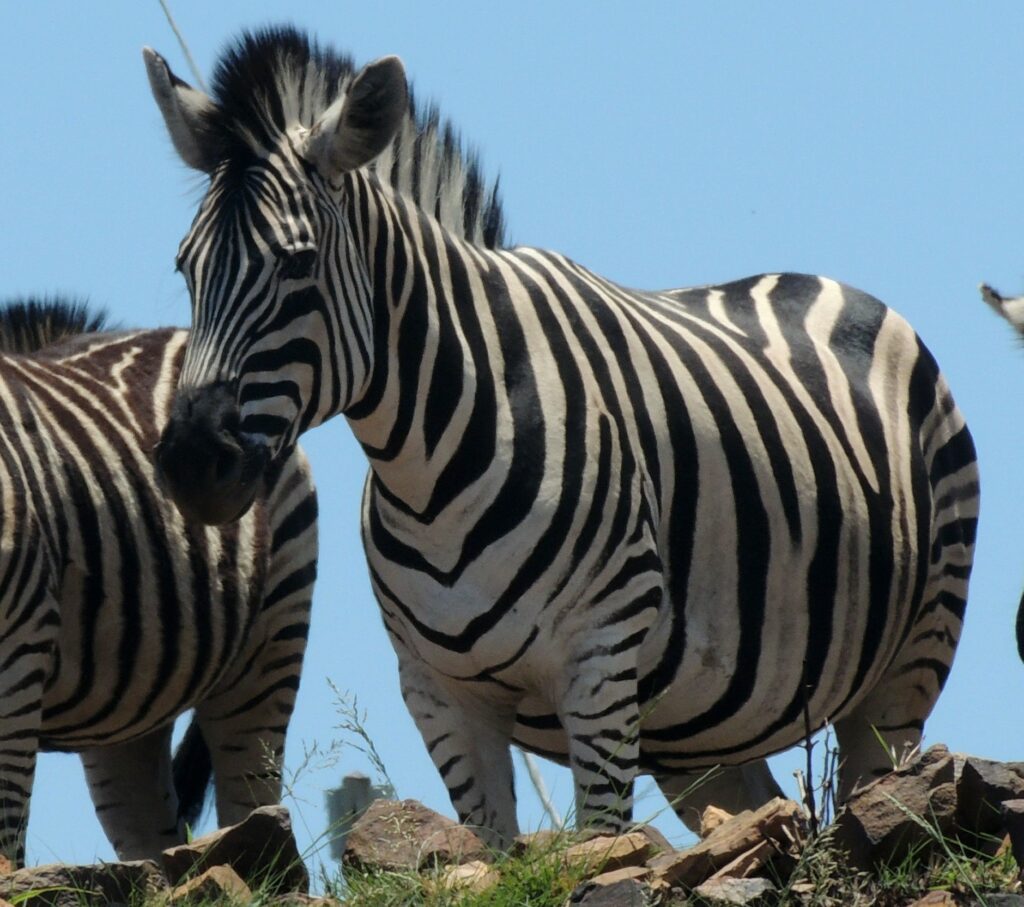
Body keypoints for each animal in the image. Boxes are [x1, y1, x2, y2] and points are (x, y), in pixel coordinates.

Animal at [145, 27, 979, 845]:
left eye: (299, 264)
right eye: (184, 267)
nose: (190, 461)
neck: (428, 465)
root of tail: (820, 282)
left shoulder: (600, 661)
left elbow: (602, 850)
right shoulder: (438, 692)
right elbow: (489, 852)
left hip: (908, 663)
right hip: (703, 728)